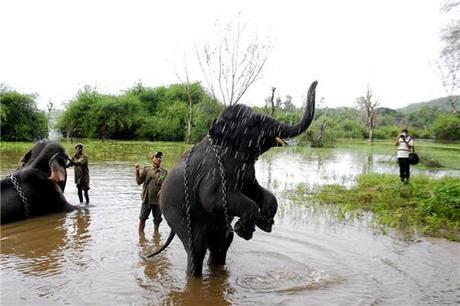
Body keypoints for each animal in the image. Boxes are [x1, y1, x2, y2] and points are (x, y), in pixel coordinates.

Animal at [149, 80, 318, 276]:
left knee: (222, 243)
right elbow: (213, 199)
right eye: (255, 121)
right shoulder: (213, 170)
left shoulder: (246, 171)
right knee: (197, 248)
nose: (316, 82)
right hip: (176, 213)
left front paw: (265, 223)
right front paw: (245, 230)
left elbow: (255, 190)